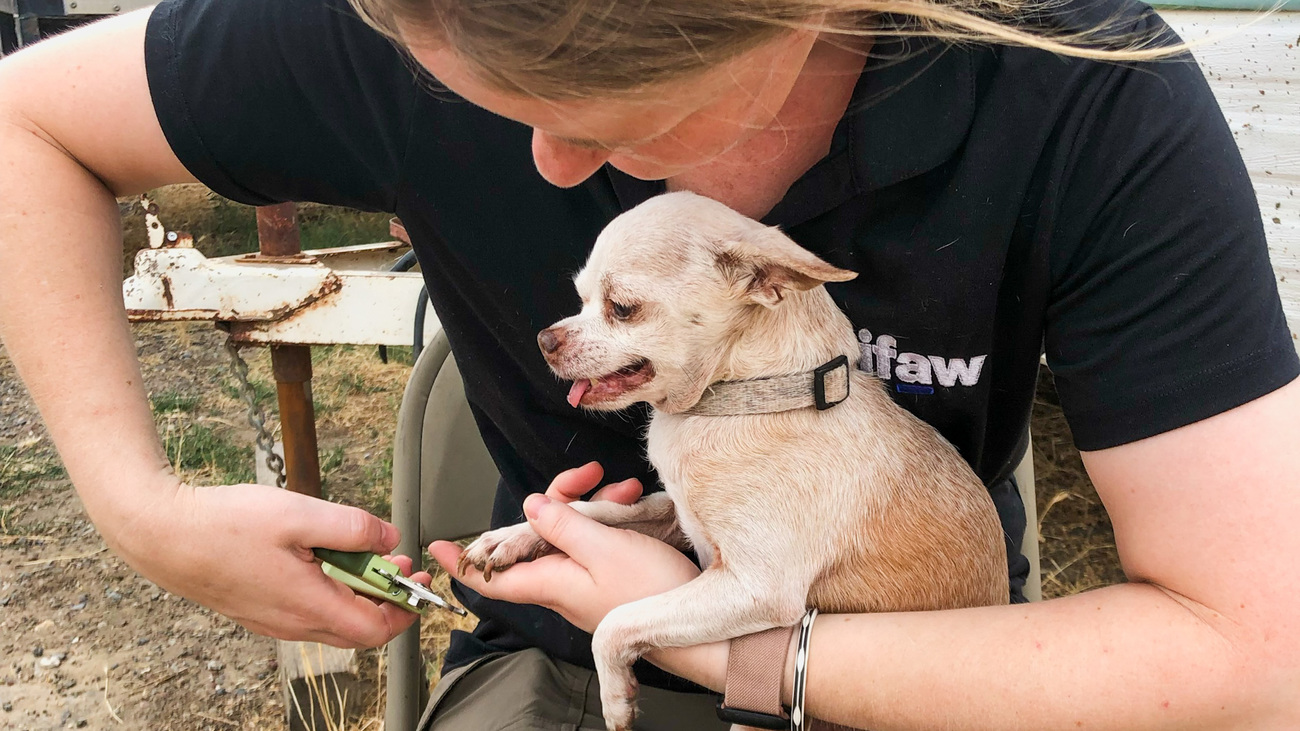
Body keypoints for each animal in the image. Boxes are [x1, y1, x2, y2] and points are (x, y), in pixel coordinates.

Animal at [462, 191, 1008, 723]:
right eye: (580, 299)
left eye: (622, 308)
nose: (544, 340)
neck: (743, 398)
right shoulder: (676, 515)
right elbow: (595, 510)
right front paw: (513, 537)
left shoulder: (755, 588)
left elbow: (615, 621)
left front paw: (616, 697)